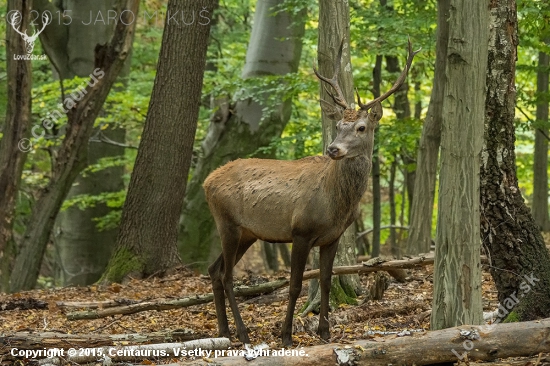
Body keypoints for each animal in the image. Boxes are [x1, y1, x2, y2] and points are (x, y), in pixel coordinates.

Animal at [205, 40, 420, 346]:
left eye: (361, 127)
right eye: (339, 125)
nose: (333, 149)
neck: (336, 205)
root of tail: (207, 182)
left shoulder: (332, 237)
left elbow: (327, 282)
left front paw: (325, 331)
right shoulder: (301, 231)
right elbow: (295, 285)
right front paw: (286, 335)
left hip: (247, 232)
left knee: (214, 269)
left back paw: (224, 330)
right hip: (227, 223)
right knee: (226, 275)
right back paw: (242, 332)